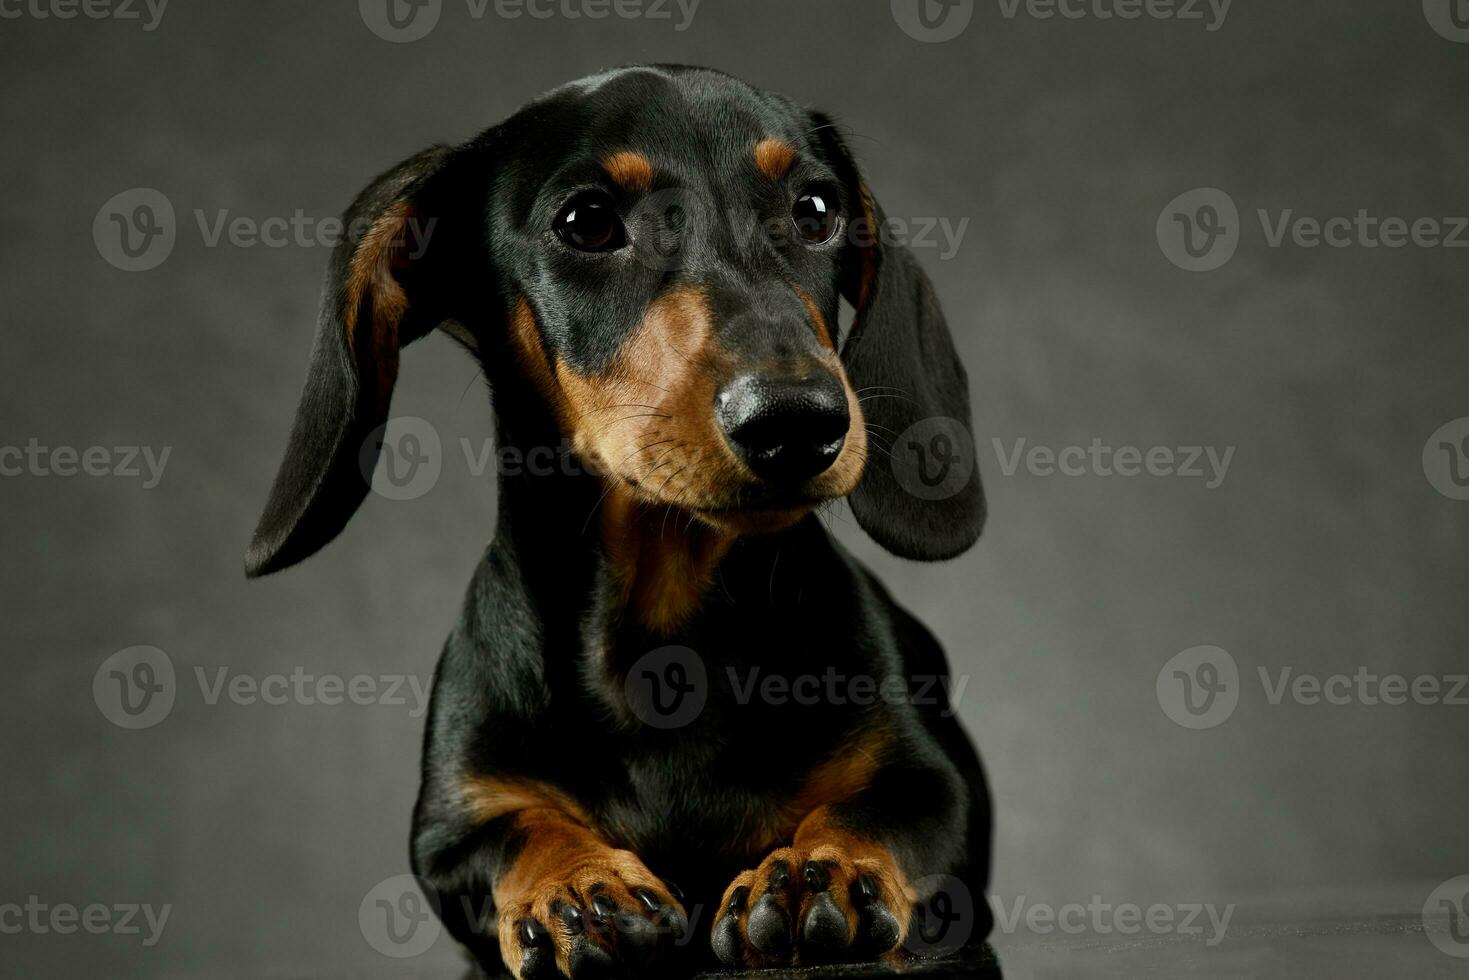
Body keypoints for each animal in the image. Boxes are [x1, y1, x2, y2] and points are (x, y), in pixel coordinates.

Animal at [246, 65, 993, 975]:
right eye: (587, 222)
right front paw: (578, 887)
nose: (796, 421)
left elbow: (883, 810)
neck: (661, 646)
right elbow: (513, 833)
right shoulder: (452, 825)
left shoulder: (935, 788)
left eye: (815, 209)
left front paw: (816, 872)